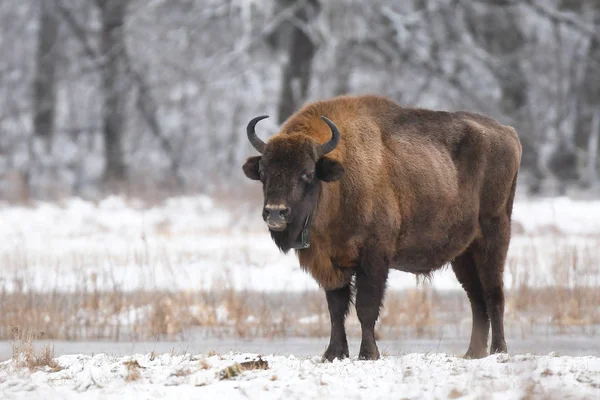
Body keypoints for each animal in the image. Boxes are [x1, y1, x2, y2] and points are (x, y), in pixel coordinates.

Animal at [244, 95, 520, 360]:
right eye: (263, 171)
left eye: (308, 173)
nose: (275, 212)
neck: (338, 182)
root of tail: (509, 134)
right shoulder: (333, 265)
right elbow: (336, 310)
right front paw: (333, 353)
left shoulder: (374, 258)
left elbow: (366, 307)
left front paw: (368, 354)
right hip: (463, 254)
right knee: (476, 299)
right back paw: (474, 352)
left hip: (494, 239)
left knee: (494, 294)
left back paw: (498, 350)